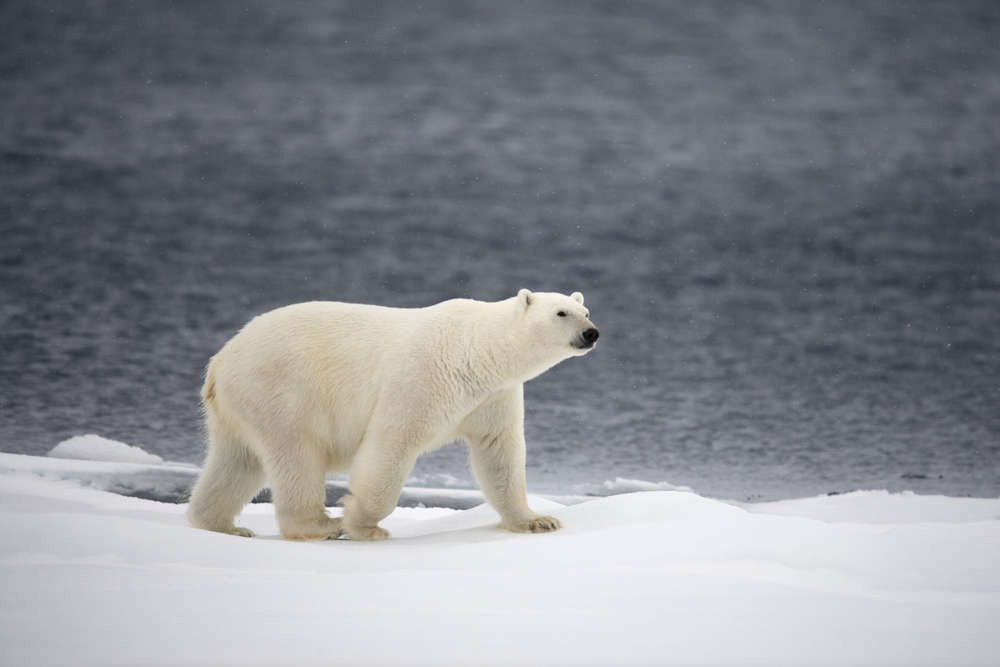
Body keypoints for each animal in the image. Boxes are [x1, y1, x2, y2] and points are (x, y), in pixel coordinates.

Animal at [185, 290, 596, 540]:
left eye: (586, 311)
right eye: (561, 312)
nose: (591, 333)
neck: (476, 351)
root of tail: (220, 362)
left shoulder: (491, 397)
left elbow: (499, 452)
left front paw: (537, 520)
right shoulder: (423, 377)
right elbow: (393, 442)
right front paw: (362, 523)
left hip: (241, 406)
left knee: (236, 462)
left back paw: (221, 526)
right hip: (281, 390)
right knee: (296, 454)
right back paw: (321, 525)